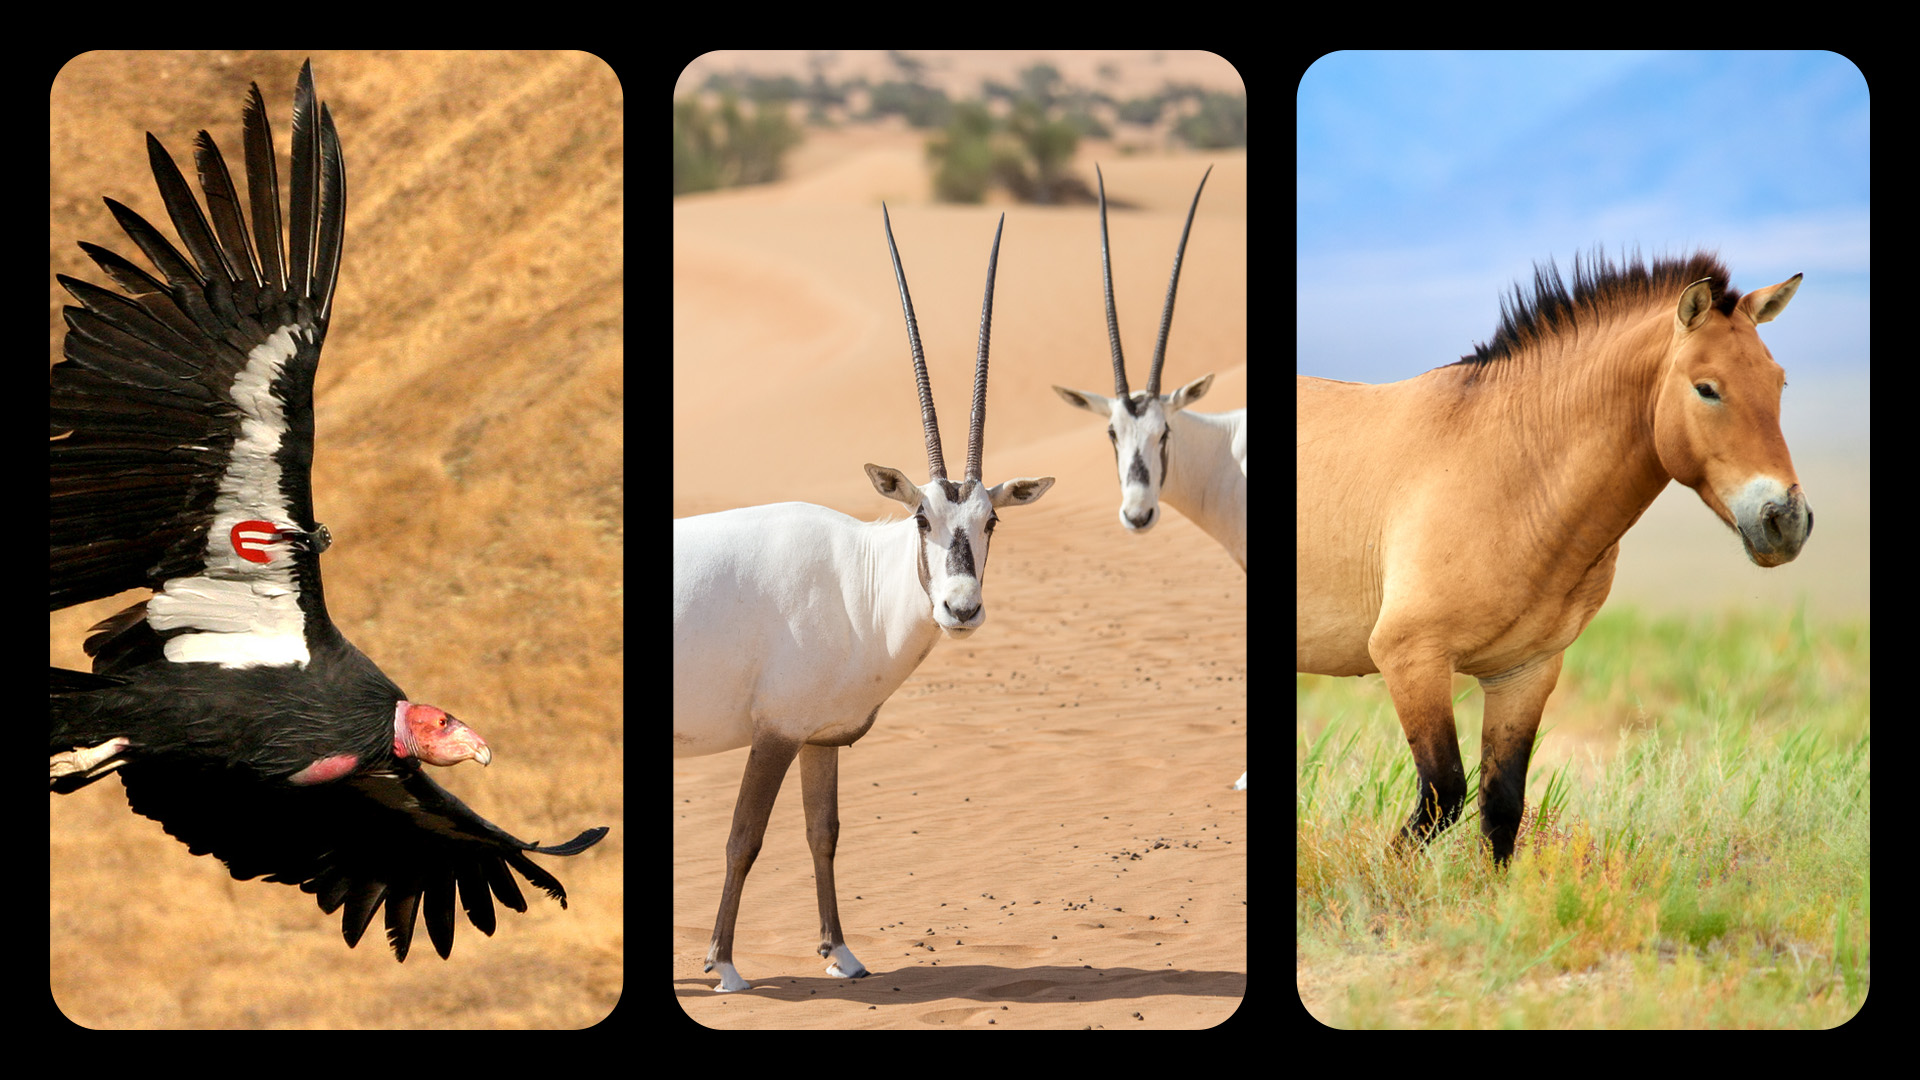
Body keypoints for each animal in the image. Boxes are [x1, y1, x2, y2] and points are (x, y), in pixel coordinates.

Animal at [1296, 250, 1812, 863]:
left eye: (1779, 381)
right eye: (1707, 388)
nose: (1786, 521)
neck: (1505, 468)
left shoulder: (1525, 672)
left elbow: (1501, 806)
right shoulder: (1410, 657)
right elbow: (1443, 795)